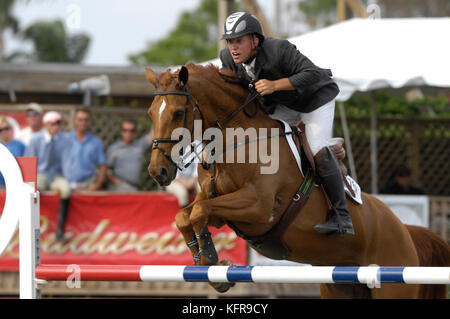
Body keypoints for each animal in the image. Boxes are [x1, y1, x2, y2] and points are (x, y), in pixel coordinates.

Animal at [144, 63, 450, 300]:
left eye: (177, 113)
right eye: (150, 113)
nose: (158, 172)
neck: (237, 141)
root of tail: (405, 229)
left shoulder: (258, 208)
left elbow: (198, 212)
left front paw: (212, 261)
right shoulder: (219, 205)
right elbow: (186, 215)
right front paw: (207, 262)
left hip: (392, 282)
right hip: (339, 287)